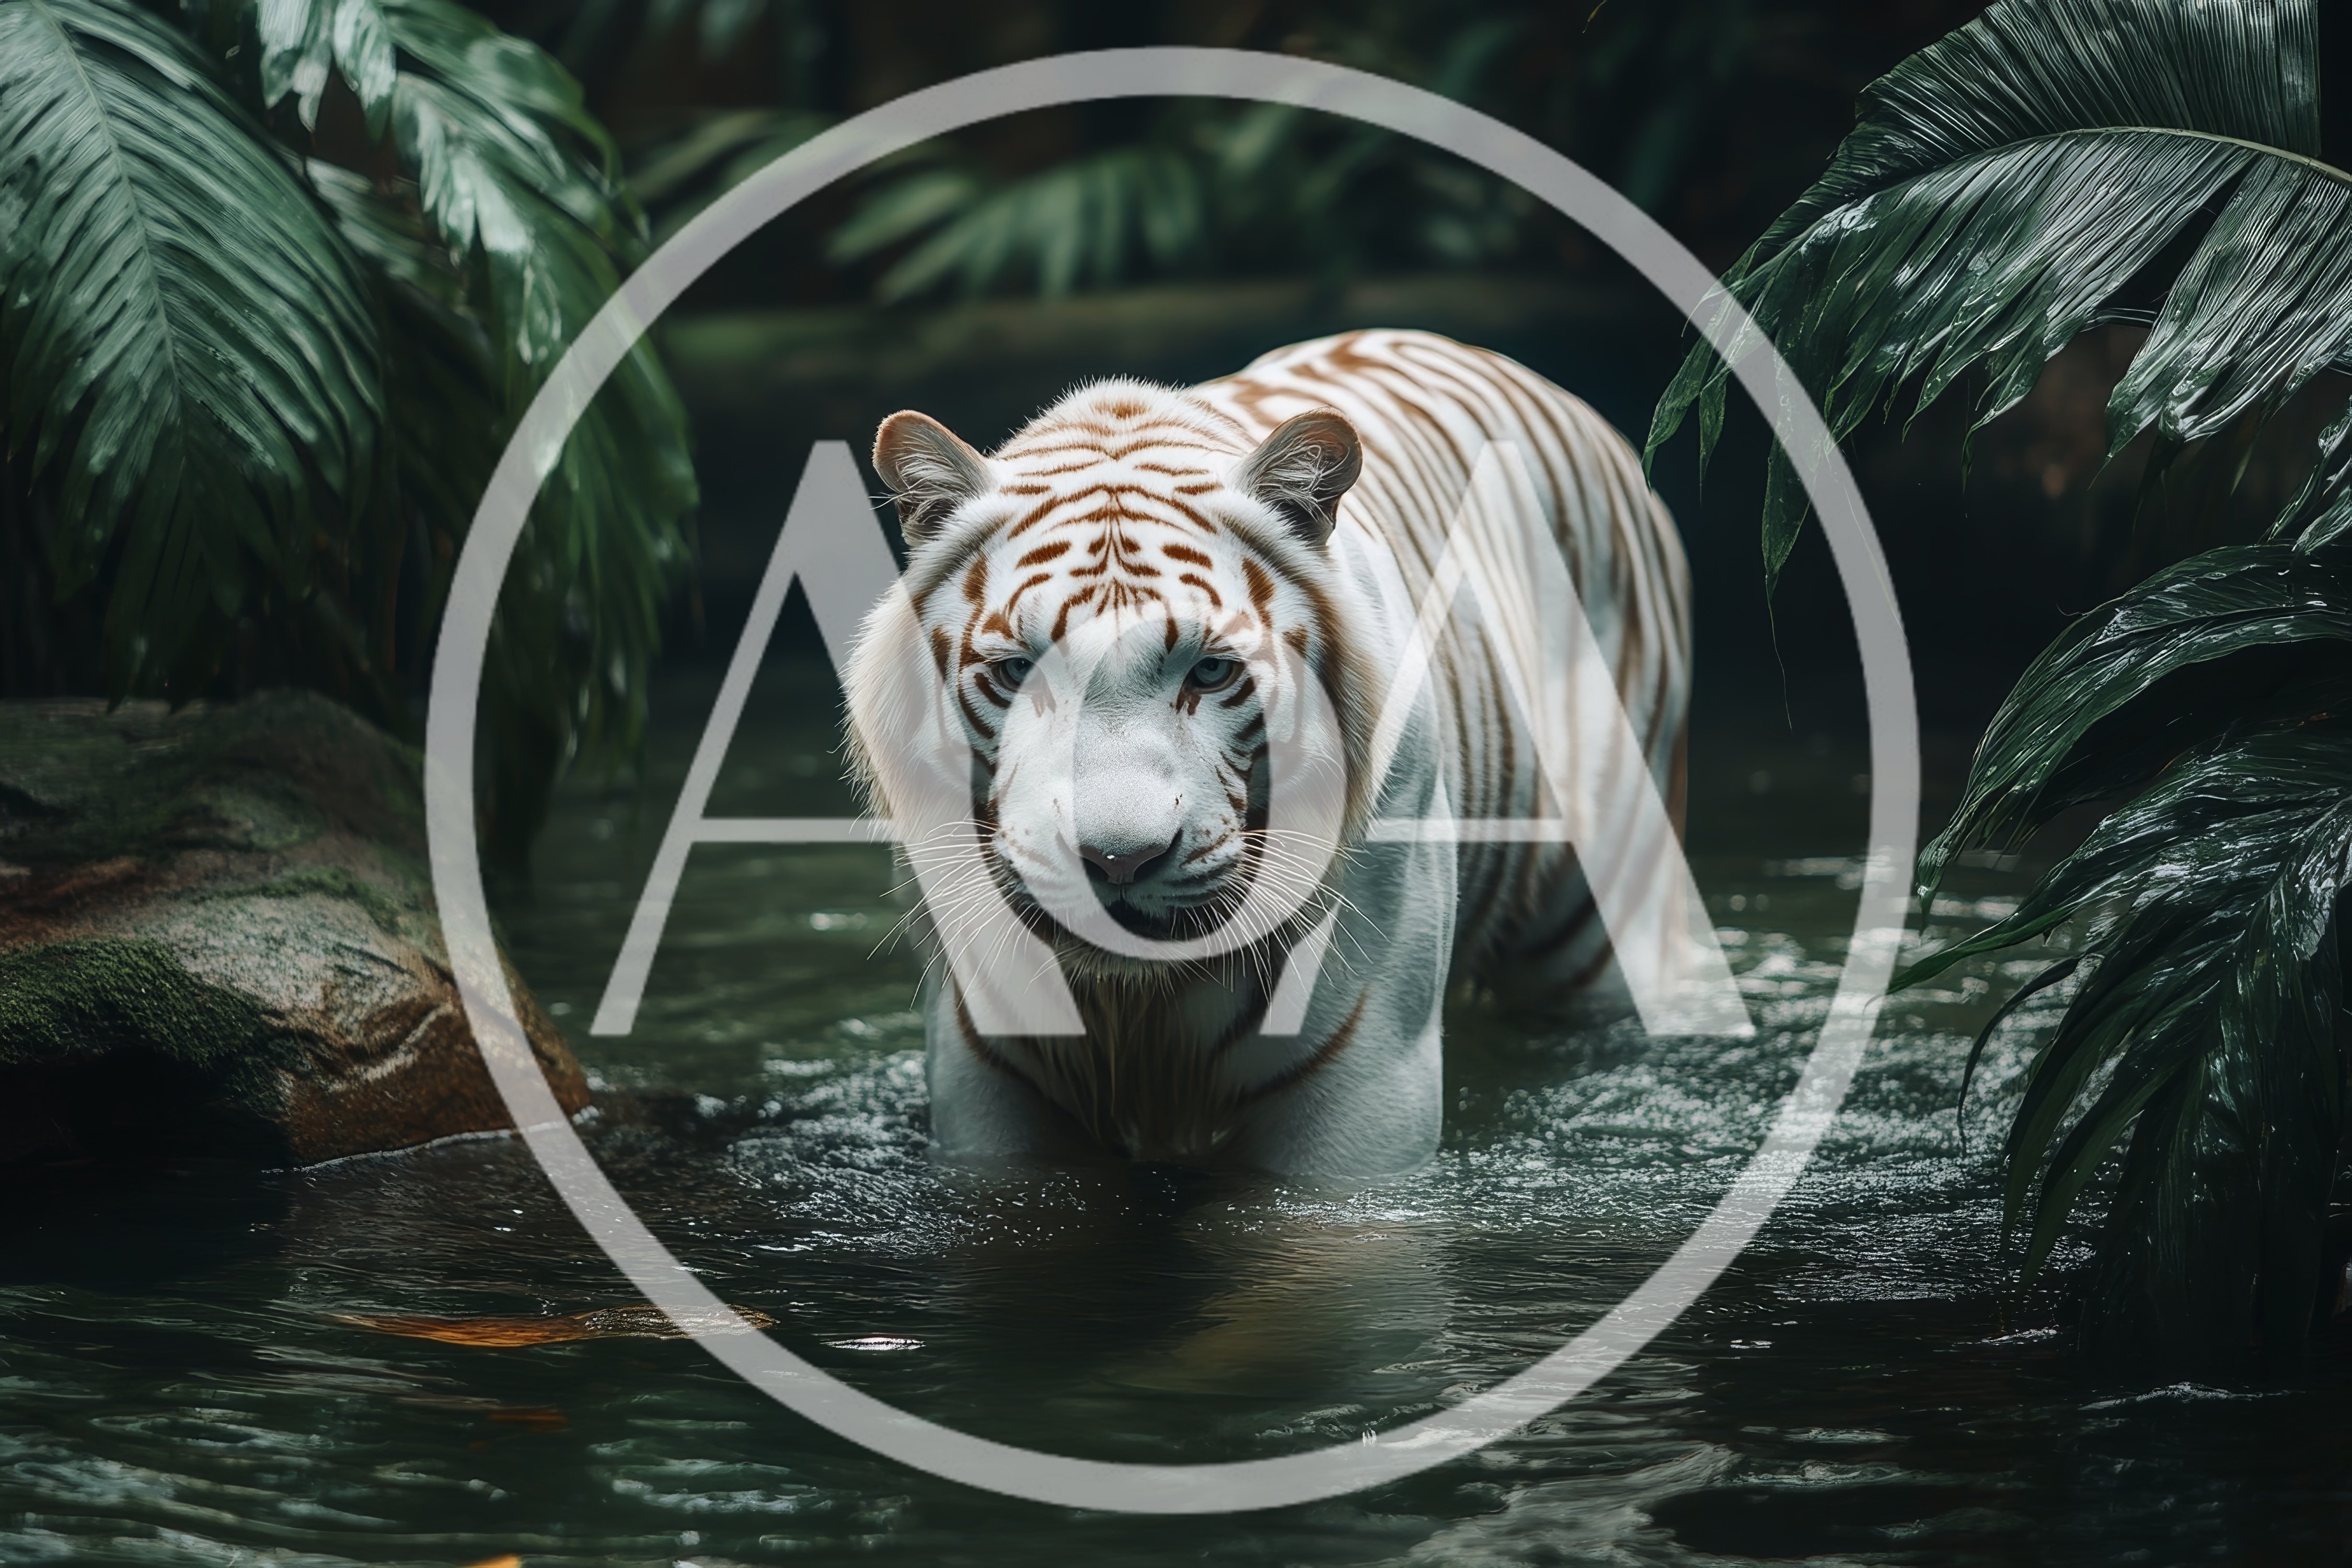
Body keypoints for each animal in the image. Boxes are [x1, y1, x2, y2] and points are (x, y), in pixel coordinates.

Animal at [844, 328, 1693, 1177]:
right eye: (1020, 672)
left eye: (1212, 671)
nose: (1117, 862)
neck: (1135, 1007)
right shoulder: (986, 1085)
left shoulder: (1362, 1087)